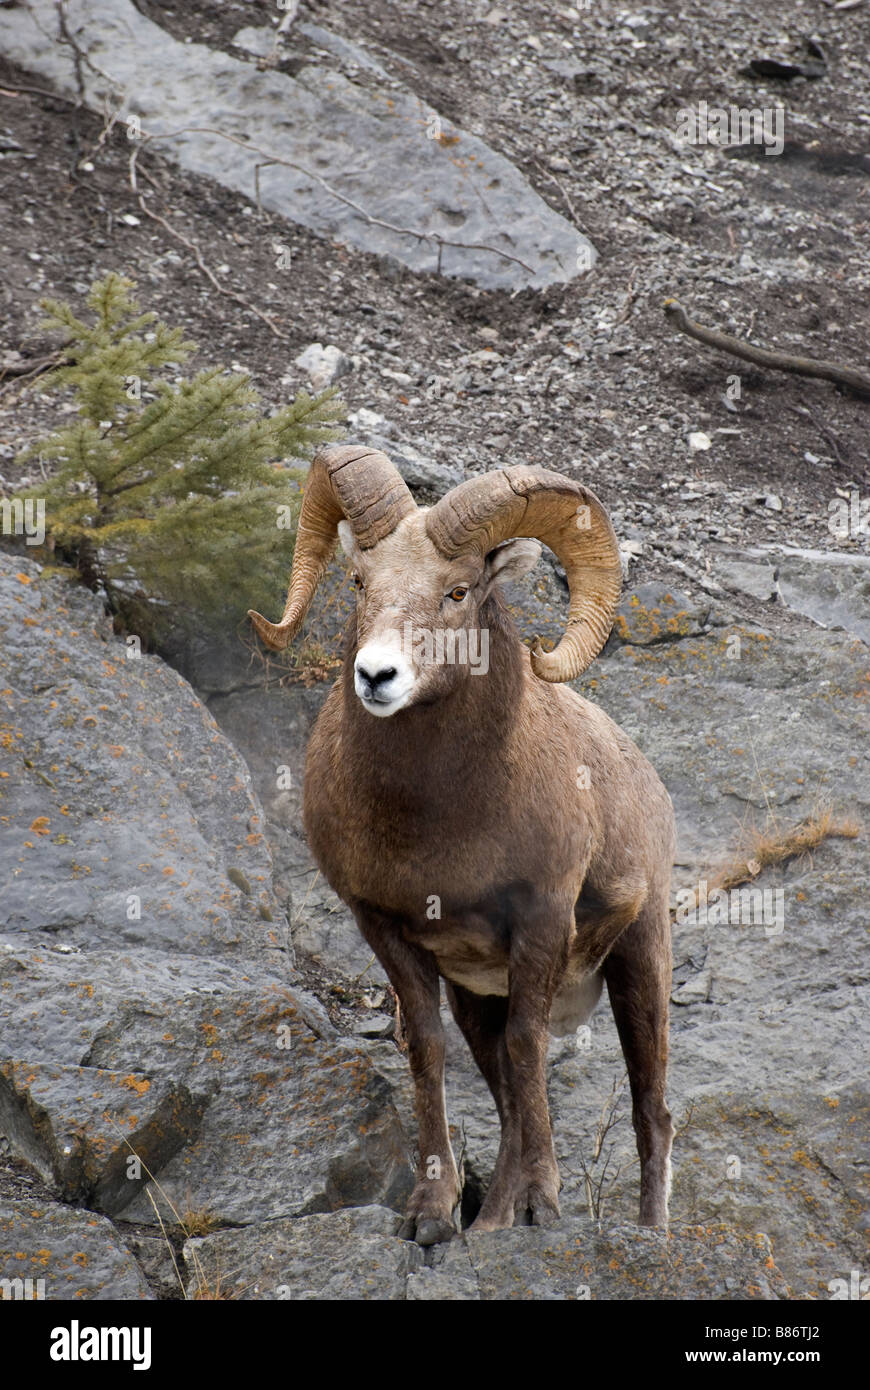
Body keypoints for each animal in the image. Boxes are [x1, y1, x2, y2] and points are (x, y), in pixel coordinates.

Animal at [247, 442, 675, 1239]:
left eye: (456, 591)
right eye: (360, 581)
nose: (376, 675)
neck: (440, 821)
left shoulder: (540, 921)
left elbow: (529, 1048)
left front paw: (538, 1207)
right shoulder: (387, 929)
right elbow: (429, 1048)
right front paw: (434, 1216)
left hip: (642, 958)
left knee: (650, 1110)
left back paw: (649, 1232)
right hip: (480, 994)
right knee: (504, 1092)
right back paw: (489, 1221)